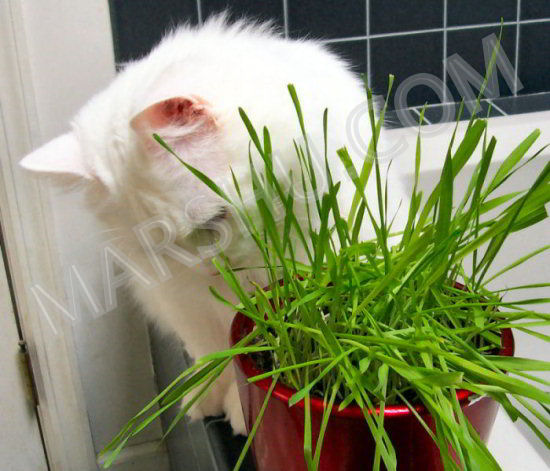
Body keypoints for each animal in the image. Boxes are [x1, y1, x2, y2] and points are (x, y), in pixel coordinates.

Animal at [18, 13, 396, 436]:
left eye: (214, 222)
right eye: (158, 248)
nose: (209, 270)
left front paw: (243, 414)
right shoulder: (184, 302)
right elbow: (215, 355)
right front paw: (207, 397)